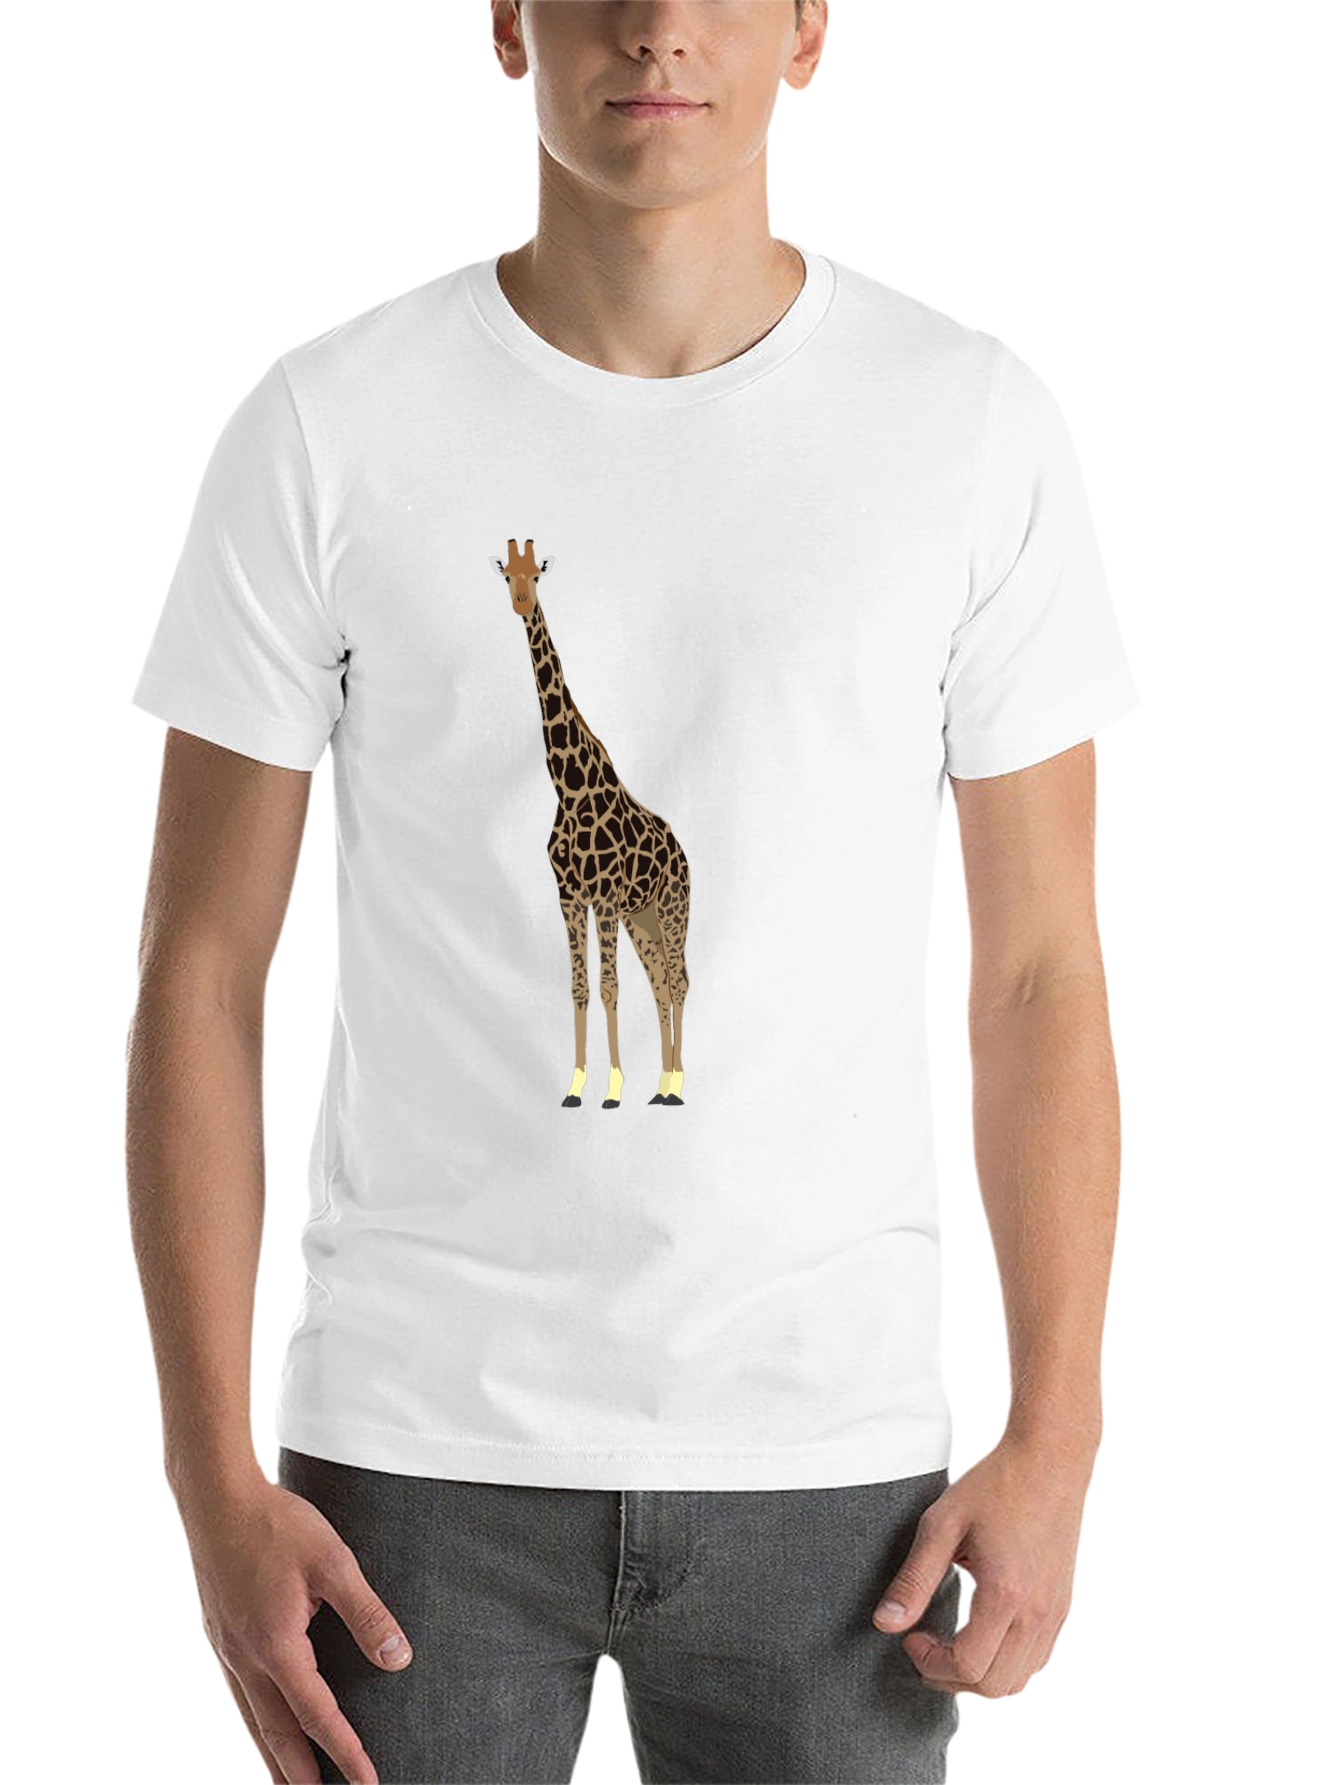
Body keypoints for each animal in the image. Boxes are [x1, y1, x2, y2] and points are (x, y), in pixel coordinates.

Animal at [489, 538, 690, 1108]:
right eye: (505, 574)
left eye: (537, 574)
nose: (520, 602)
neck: (569, 785)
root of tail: (683, 851)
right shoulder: (569, 896)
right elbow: (580, 987)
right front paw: (576, 1085)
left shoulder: (603, 896)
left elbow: (607, 987)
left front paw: (613, 1088)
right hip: (641, 917)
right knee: (661, 983)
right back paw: (661, 1084)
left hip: (670, 909)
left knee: (679, 981)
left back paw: (675, 1084)